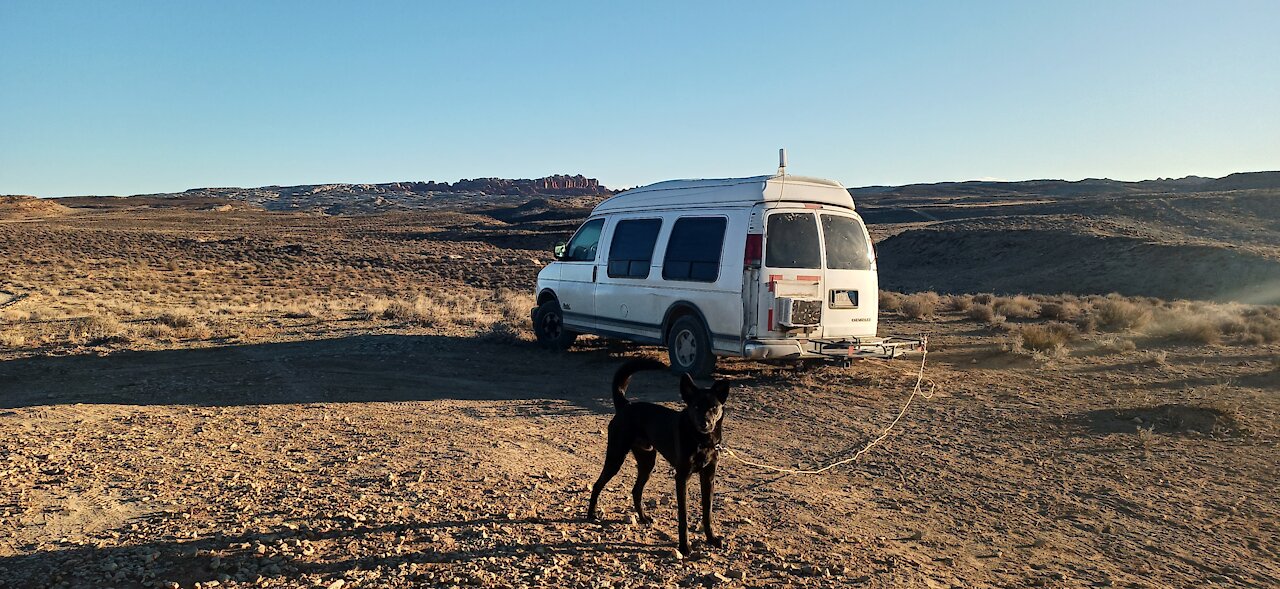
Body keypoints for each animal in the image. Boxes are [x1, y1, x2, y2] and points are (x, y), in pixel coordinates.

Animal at [588, 358, 732, 555]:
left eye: (714, 407)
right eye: (696, 406)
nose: (705, 423)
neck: (701, 440)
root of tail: (626, 405)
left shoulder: (708, 477)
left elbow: (707, 512)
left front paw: (712, 539)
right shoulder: (681, 478)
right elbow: (683, 516)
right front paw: (684, 546)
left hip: (647, 462)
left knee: (636, 490)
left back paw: (643, 518)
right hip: (615, 458)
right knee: (597, 485)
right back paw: (591, 514)